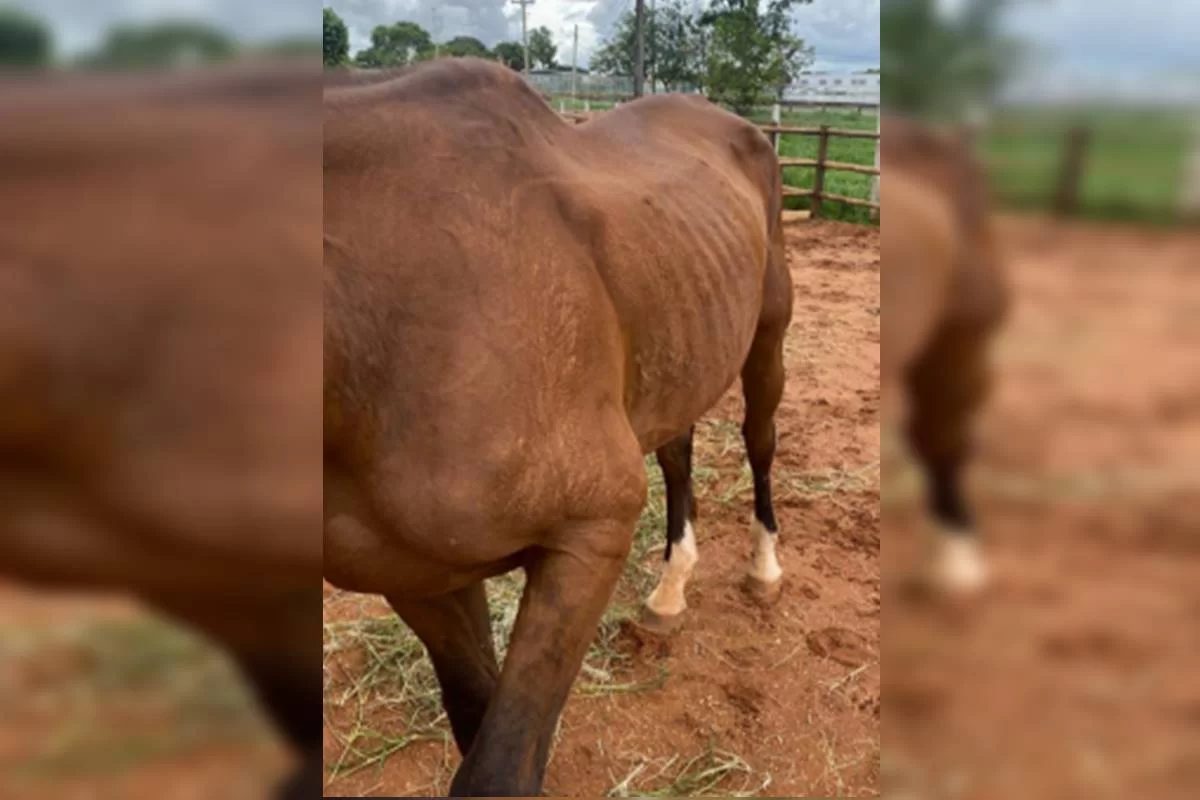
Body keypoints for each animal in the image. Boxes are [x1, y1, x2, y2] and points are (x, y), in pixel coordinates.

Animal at [324, 59, 792, 796]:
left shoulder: (588, 538)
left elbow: (501, 765)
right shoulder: (420, 576)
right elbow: (478, 721)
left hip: (769, 332)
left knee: (760, 439)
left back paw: (765, 568)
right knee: (677, 451)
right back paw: (669, 593)